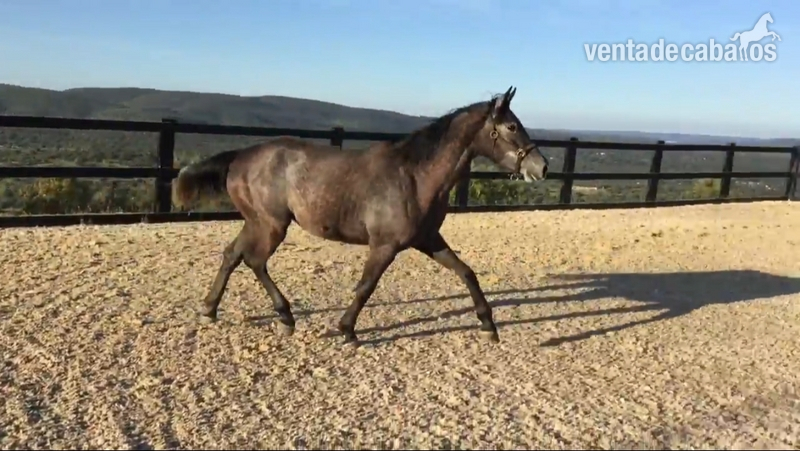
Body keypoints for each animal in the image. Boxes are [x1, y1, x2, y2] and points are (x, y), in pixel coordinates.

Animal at [171, 86, 549, 346]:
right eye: (511, 126)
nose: (541, 167)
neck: (414, 176)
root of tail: (242, 156)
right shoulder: (385, 245)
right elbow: (367, 286)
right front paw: (347, 331)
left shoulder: (428, 240)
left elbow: (467, 272)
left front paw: (489, 326)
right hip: (271, 224)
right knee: (254, 261)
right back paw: (285, 316)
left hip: (256, 222)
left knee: (232, 255)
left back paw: (210, 310)